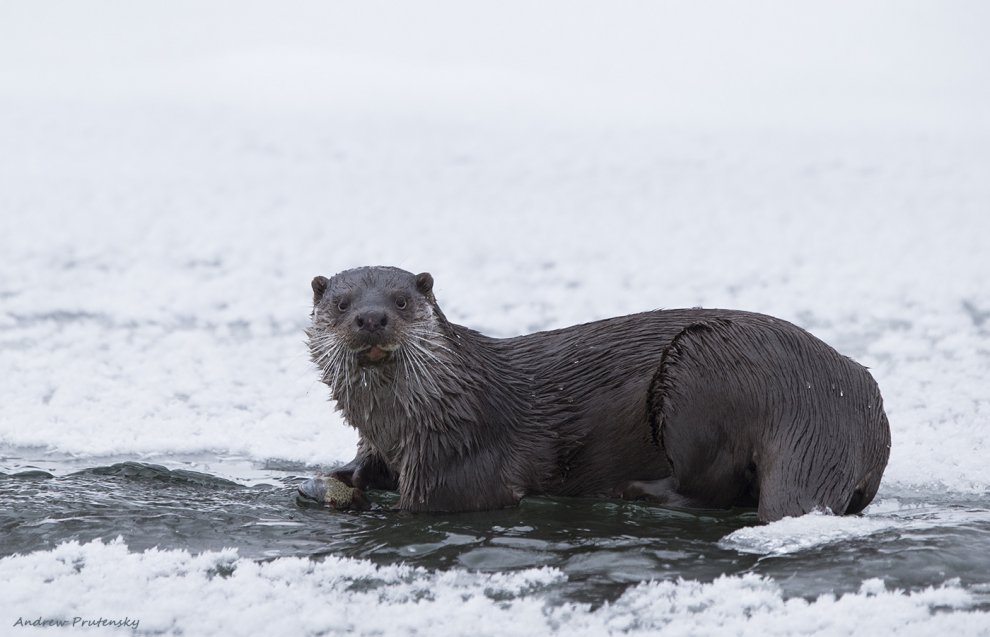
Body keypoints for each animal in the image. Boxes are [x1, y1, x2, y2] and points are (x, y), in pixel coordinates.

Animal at [300, 266, 892, 520]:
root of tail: (826, 406)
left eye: (401, 301)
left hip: (702, 372)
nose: (371, 318)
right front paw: (332, 479)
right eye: (342, 302)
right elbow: (361, 462)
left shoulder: (457, 468)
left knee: (712, 487)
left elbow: (430, 506)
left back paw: (637, 491)